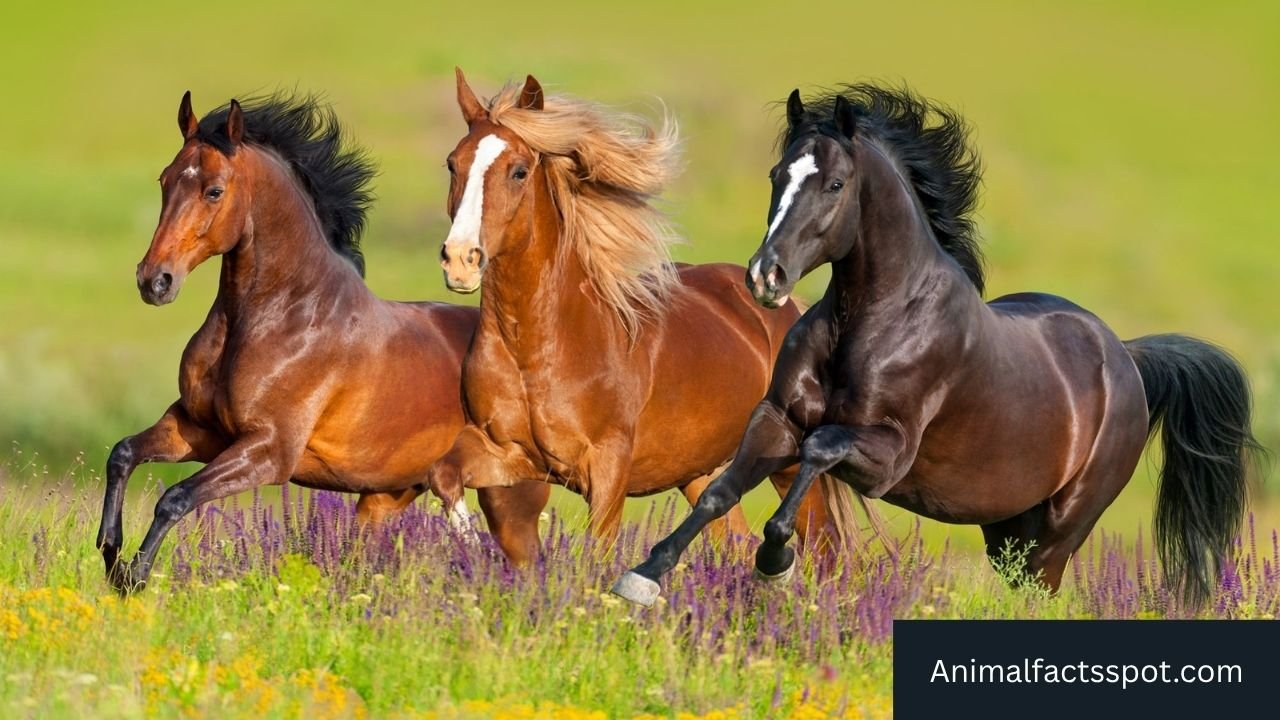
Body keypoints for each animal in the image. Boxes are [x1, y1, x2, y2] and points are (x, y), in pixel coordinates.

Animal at [97, 91, 550, 593]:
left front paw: (133, 577)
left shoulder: (268, 452)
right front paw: (110, 553)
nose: (154, 280)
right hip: (385, 497)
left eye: (213, 190)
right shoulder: (198, 429)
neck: (283, 316)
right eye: (165, 180)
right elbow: (122, 454)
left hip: (508, 496)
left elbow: (174, 497)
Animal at [425, 70, 865, 554]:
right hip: (702, 471)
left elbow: (597, 551)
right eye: (453, 164)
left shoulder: (607, 470)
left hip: (785, 462)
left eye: (519, 171)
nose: (460, 259)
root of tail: (788, 310)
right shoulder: (507, 452)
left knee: (823, 547)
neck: (538, 347)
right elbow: (443, 474)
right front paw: (470, 547)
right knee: (733, 540)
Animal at [613, 84, 1263, 609]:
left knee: (1041, 592)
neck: (873, 322)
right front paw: (643, 576)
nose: (765, 278)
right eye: (777, 176)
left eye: (835, 183)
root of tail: (1126, 358)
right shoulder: (776, 419)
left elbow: (819, 449)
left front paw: (775, 563)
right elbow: (717, 492)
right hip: (1007, 529)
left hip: (1061, 529)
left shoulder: (886, 455)